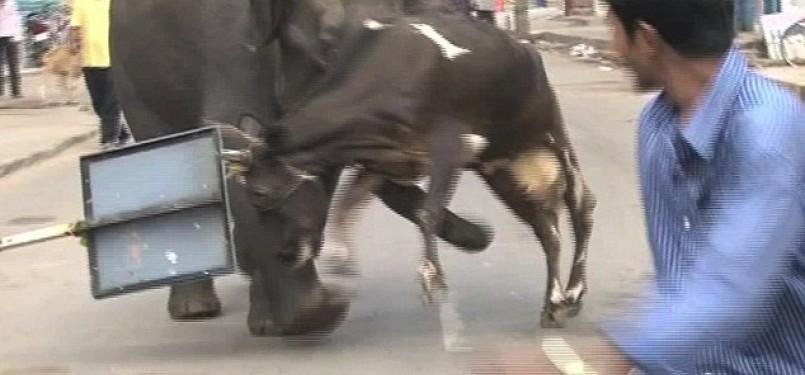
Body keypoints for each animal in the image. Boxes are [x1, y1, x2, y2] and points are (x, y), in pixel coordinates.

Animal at [108, 0, 490, 338]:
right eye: (327, 46)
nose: (483, 234)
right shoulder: (232, 55)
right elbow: (235, 154)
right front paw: (320, 313)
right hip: (131, 77)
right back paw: (196, 309)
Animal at [225, 11, 596, 328]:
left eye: (259, 193)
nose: (284, 254)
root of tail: (525, 48)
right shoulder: (381, 163)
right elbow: (346, 207)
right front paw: (340, 258)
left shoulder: (455, 144)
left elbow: (428, 212)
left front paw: (431, 276)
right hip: (501, 167)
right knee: (547, 230)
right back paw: (553, 304)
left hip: (550, 133)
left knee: (582, 206)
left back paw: (573, 293)